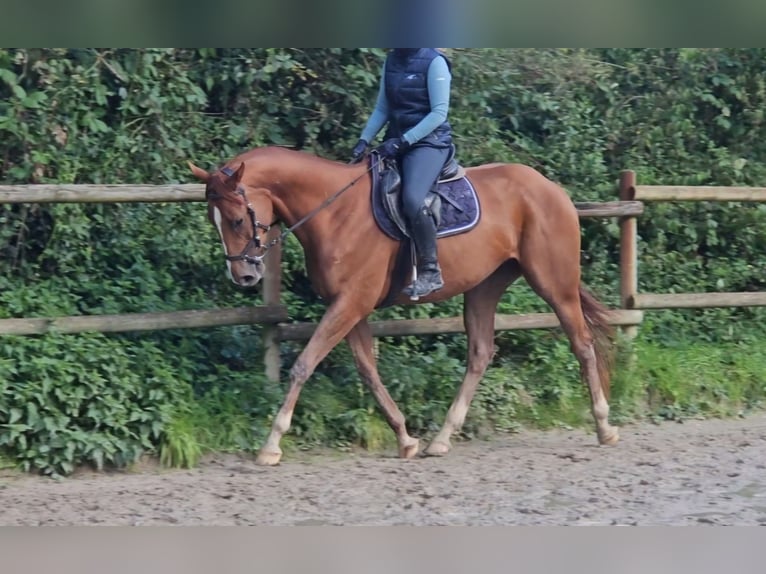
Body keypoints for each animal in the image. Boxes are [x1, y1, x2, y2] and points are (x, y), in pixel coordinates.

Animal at [189, 146, 620, 466]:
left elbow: (304, 364)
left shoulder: (350, 302)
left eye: (236, 219)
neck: (334, 212)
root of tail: (550, 187)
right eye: (214, 220)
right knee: (480, 353)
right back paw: (440, 439)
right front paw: (405, 437)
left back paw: (604, 426)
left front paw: (271, 445)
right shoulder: (351, 306)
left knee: (581, 343)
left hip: (554, 283)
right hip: (484, 287)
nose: (244, 276)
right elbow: (368, 370)